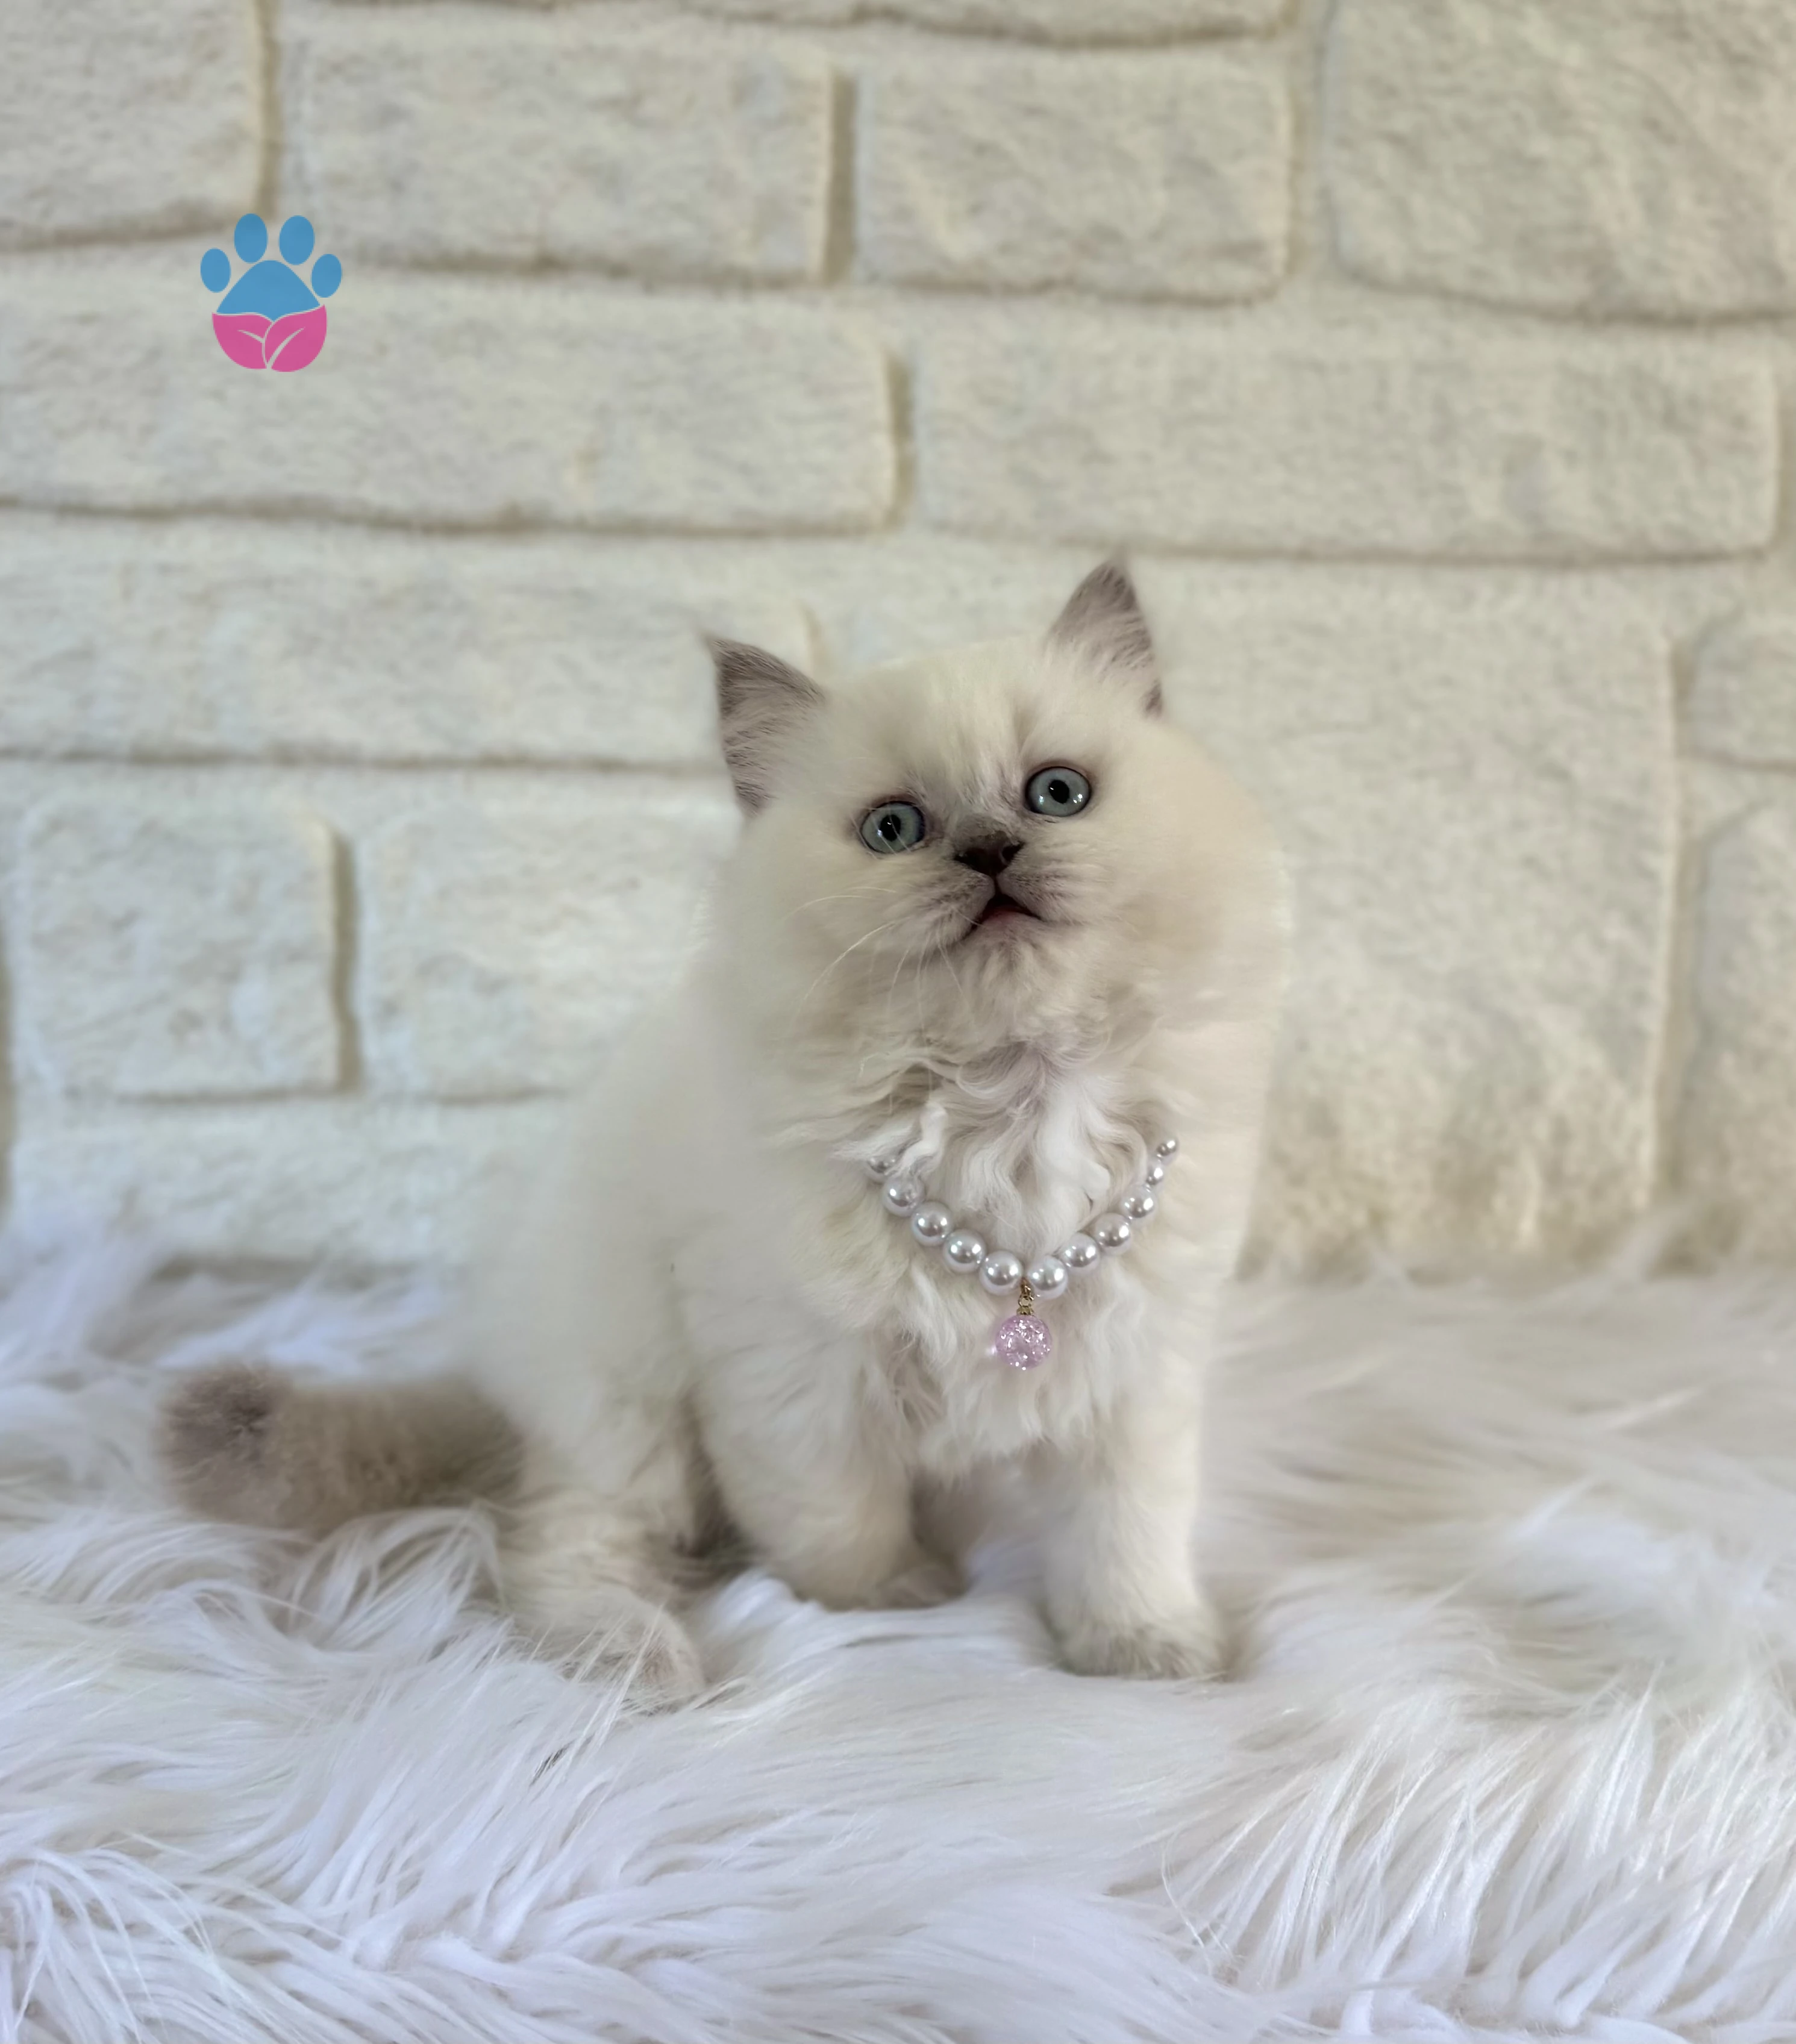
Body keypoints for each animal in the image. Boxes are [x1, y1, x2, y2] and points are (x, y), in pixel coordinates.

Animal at [161, 562, 1288, 1703]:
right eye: (894, 829)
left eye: (1057, 794)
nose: (988, 850)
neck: (1005, 1099)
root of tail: (496, 1371)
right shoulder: (795, 1372)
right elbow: (835, 1521)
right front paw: (893, 1602)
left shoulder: (1133, 1367)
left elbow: (1123, 1535)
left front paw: (1145, 1649)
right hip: (627, 1411)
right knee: (558, 1548)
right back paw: (635, 1656)